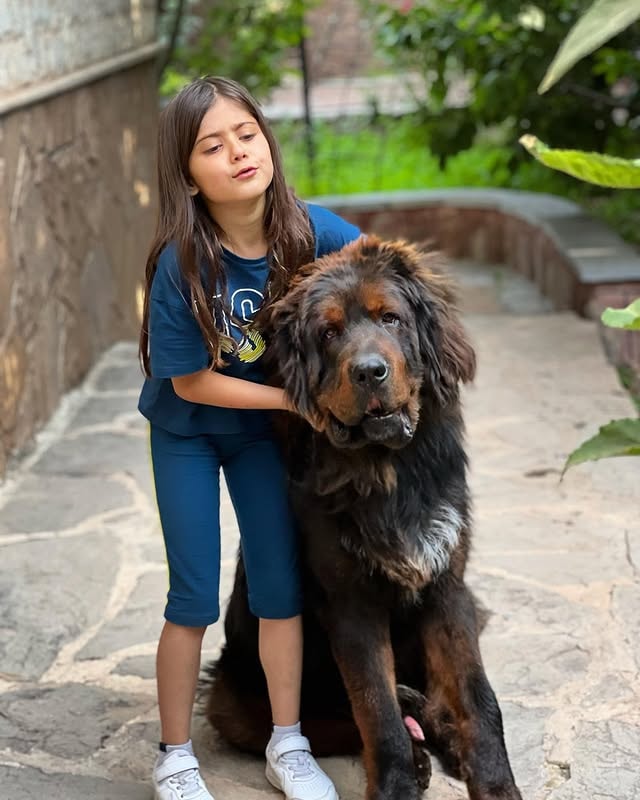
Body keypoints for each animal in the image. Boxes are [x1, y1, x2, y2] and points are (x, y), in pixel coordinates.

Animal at [202, 238, 524, 800]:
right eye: (328, 333)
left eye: (391, 318)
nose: (370, 371)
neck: (388, 472)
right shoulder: (350, 603)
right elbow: (375, 708)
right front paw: (398, 781)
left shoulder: (448, 587)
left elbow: (478, 698)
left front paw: (495, 783)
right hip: (232, 699)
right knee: (323, 720)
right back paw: (417, 746)